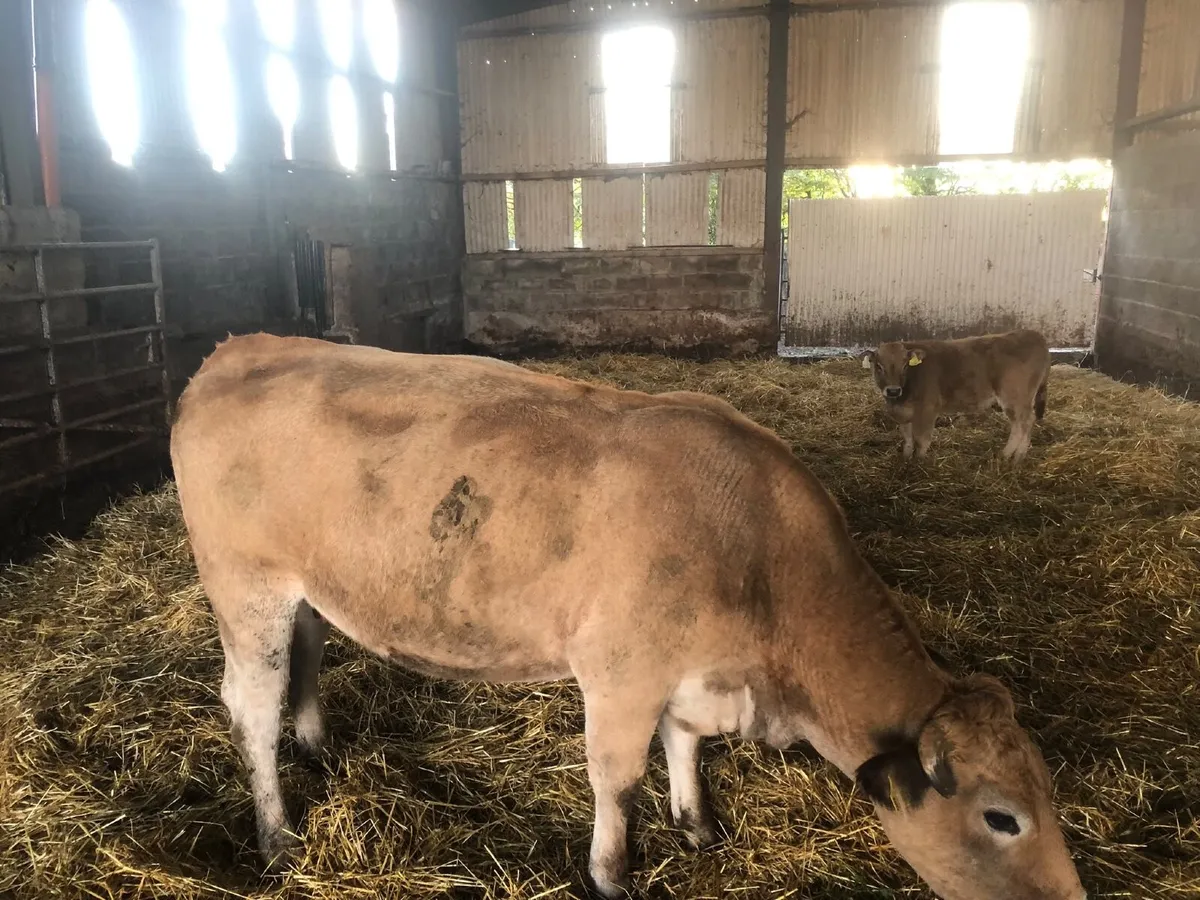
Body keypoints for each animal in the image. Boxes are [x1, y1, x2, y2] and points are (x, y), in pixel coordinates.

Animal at [861, 329, 1052, 462]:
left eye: (905, 365)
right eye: (878, 366)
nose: (893, 390)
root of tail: (1034, 335)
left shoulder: (928, 410)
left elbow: (921, 440)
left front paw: (919, 463)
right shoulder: (905, 414)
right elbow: (907, 438)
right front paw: (906, 459)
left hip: (1015, 397)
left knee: (1025, 422)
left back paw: (1014, 457)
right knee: (1019, 424)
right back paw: (1008, 455)